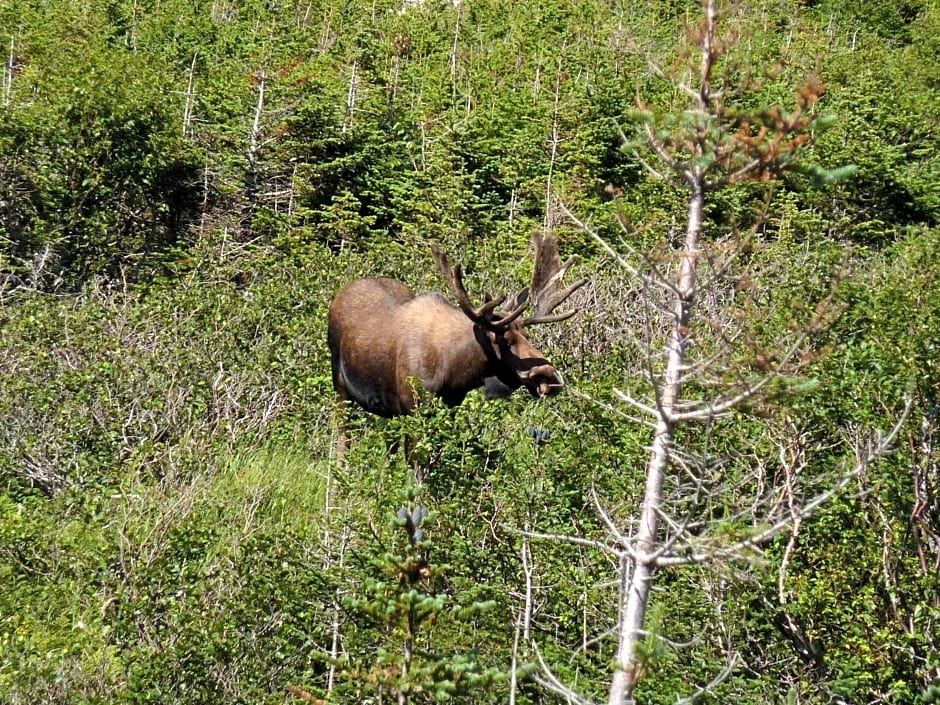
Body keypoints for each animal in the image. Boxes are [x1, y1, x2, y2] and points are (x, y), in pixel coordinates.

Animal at [326, 234, 584, 460]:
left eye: (527, 336)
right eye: (505, 340)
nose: (551, 378)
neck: (454, 371)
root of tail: (340, 294)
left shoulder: (449, 409)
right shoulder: (414, 409)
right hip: (340, 382)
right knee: (342, 437)